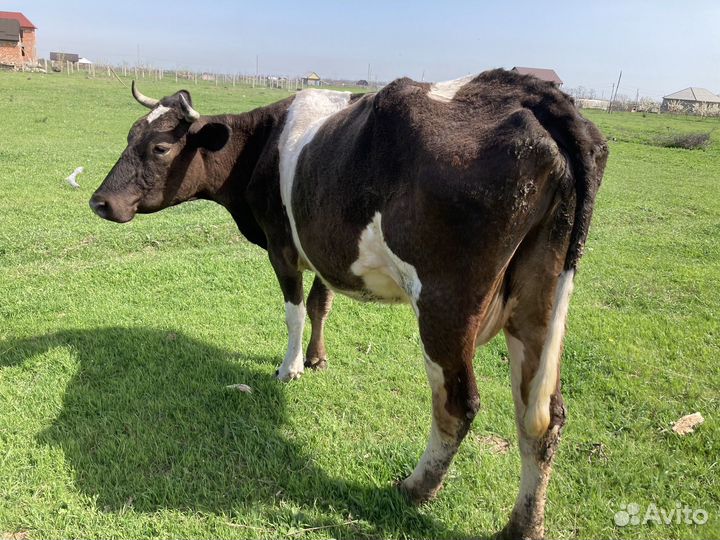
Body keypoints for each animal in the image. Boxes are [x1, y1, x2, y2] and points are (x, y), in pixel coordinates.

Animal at [90, 69, 608, 540]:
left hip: (446, 304)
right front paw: (317, 358)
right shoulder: (322, 251)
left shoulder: (283, 245)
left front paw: (291, 367)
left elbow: (295, 310)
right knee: (543, 417)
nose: (99, 202)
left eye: (160, 148)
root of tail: (531, 93)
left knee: (458, 404)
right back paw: (522, 525)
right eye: (131, 135)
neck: (262, 144)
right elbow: (321, 304)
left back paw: (415, 488)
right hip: (537, 300)